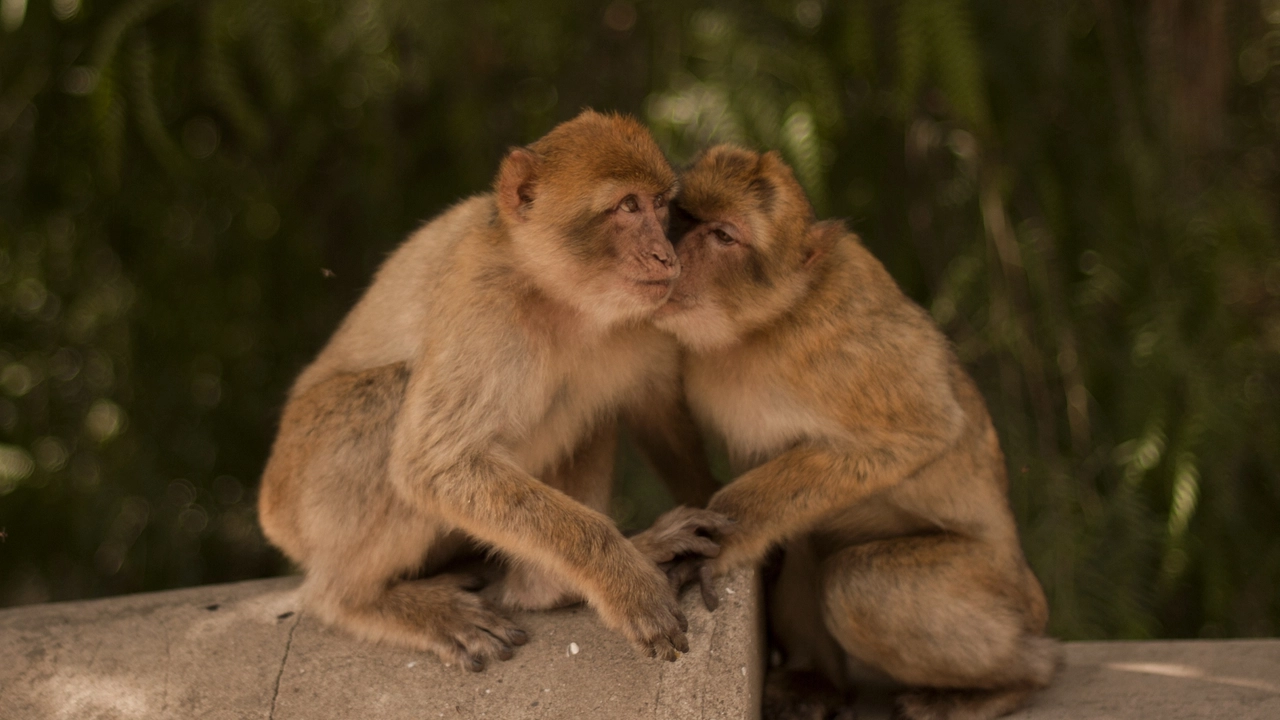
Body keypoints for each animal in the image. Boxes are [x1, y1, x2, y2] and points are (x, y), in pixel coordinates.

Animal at [655, 146, 1054, 717]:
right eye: (683, 217)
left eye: (723, 236)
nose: (670, 254)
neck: (760, 326)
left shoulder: (840, 335)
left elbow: (924, 429)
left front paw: (716, 535)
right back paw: (818, 681)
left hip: (992, 585)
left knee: (856, 586)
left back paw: (1013, 682)